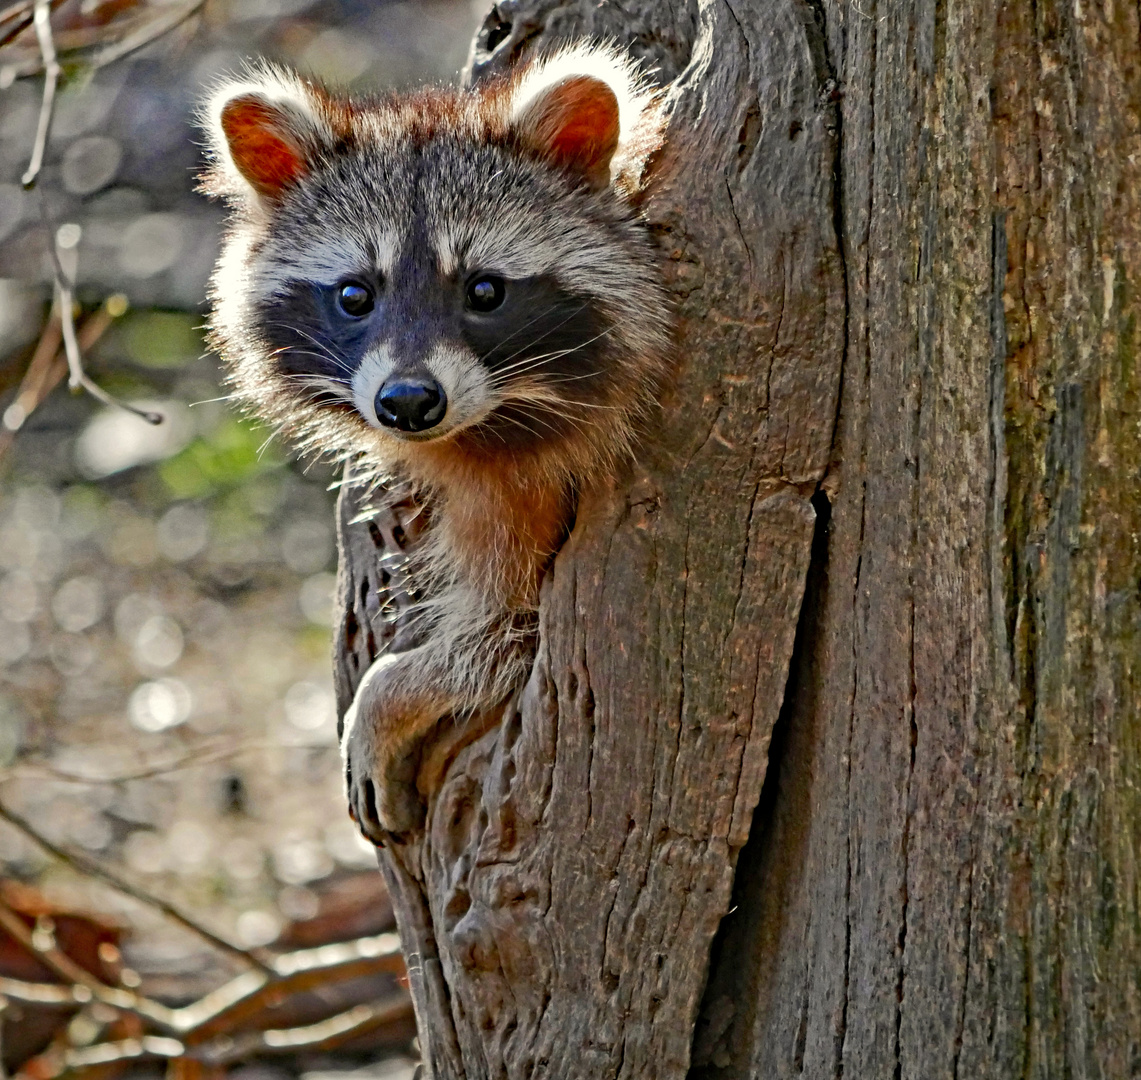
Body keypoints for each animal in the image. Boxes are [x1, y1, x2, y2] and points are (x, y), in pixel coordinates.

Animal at [201, 42, 670, 839]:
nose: (408, 402)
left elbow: (504, 634)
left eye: (484, 291)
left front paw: (392, 694)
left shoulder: (528, 489)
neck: (484, 423)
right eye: (354, 295)